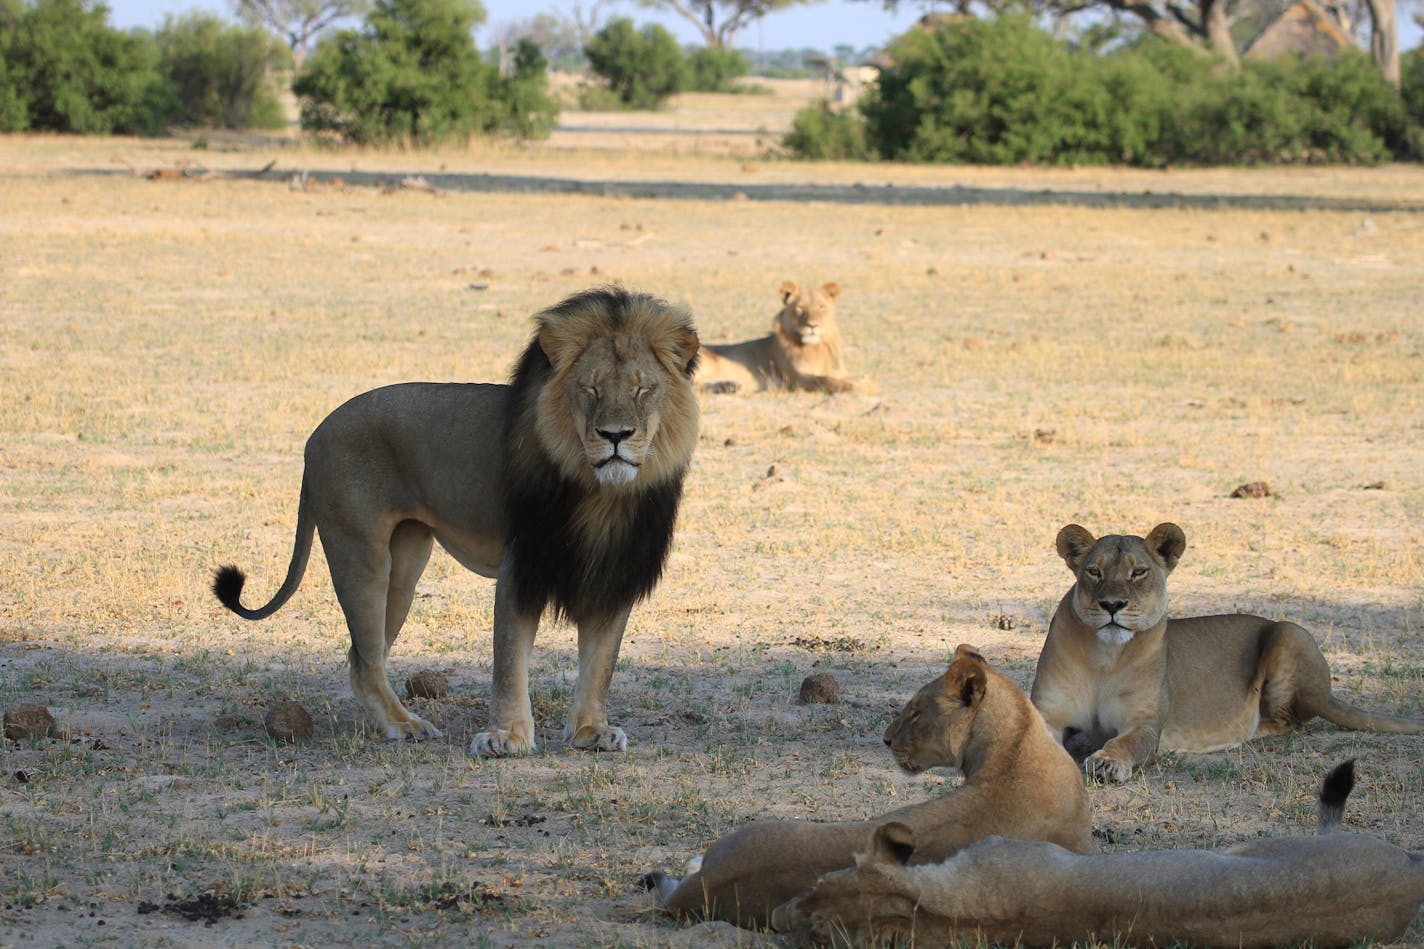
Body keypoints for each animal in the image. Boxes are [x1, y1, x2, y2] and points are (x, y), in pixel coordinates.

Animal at [212, 286, 700, 752]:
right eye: (590, 389)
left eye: (643, 390)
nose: (615, 435)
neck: (600, 492)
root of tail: (314, 435)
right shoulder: (521, 565)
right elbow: (509, 661)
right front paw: (507, 737)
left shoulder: (616, 568)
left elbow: (600, 664)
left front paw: (590, 731)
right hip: (361, 555)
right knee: (365, 659)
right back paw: (404, 725)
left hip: (405, 567)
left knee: (363, 655)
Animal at [692, 282, 871, 396]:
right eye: (800, 308)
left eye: (821, 307)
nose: (812, 325)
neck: (815, 349)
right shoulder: (794, 378)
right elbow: (825, 380)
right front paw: (854, 387)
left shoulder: (838, 371)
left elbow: (863, 378)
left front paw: (865, 382)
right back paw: (727, 386)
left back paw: (730, 386)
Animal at [1036, 521, 1424, 780]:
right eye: (1094, 571)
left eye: (1139, 572)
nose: (1112, 605)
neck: (1105, 658)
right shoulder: (1049, 714)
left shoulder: (1145, 724)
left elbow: (1126, 744)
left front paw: (1106, 761)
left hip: (1288, 632)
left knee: (1293, 722)